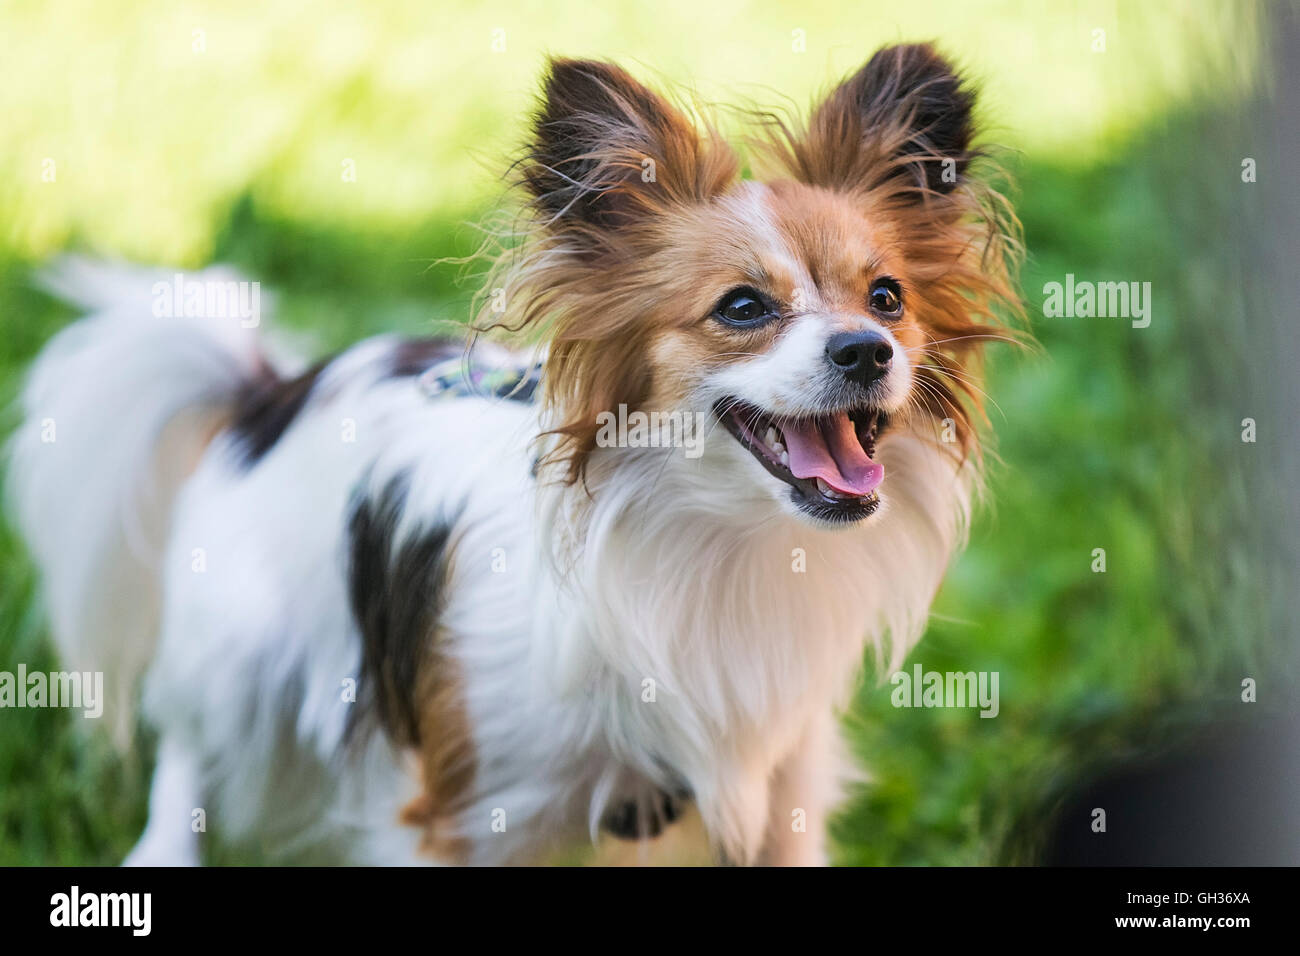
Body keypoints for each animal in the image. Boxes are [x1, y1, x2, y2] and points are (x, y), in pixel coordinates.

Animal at [5, 42, 1019, 868]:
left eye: (887, 298)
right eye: (742, 307)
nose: (866, 350)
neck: (722, 543)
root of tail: (271, 392)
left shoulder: (777, 797)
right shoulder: (463, 808)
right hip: (243, 656)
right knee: (187, 745)